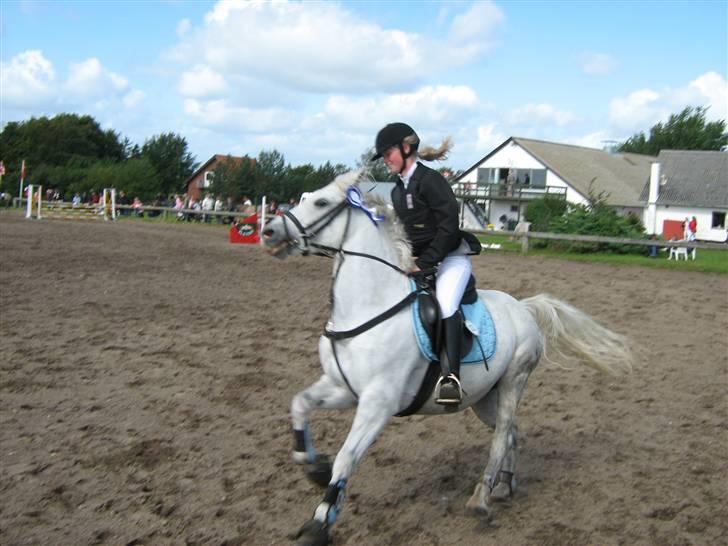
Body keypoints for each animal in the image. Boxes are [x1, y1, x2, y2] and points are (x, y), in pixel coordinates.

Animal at [262, 171, 632, 544]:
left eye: (321, 202)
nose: (269, 231)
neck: (368, 308)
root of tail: (523, 307)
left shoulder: (378, 404)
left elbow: (346, 457)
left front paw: (320, 521)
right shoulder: (342, 388)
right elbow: (300, 404)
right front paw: (314, 466)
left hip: (514, 381)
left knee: (501, 435)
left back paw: (481, 497)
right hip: (484, 397)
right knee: (510, 432)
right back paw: (504, 486)